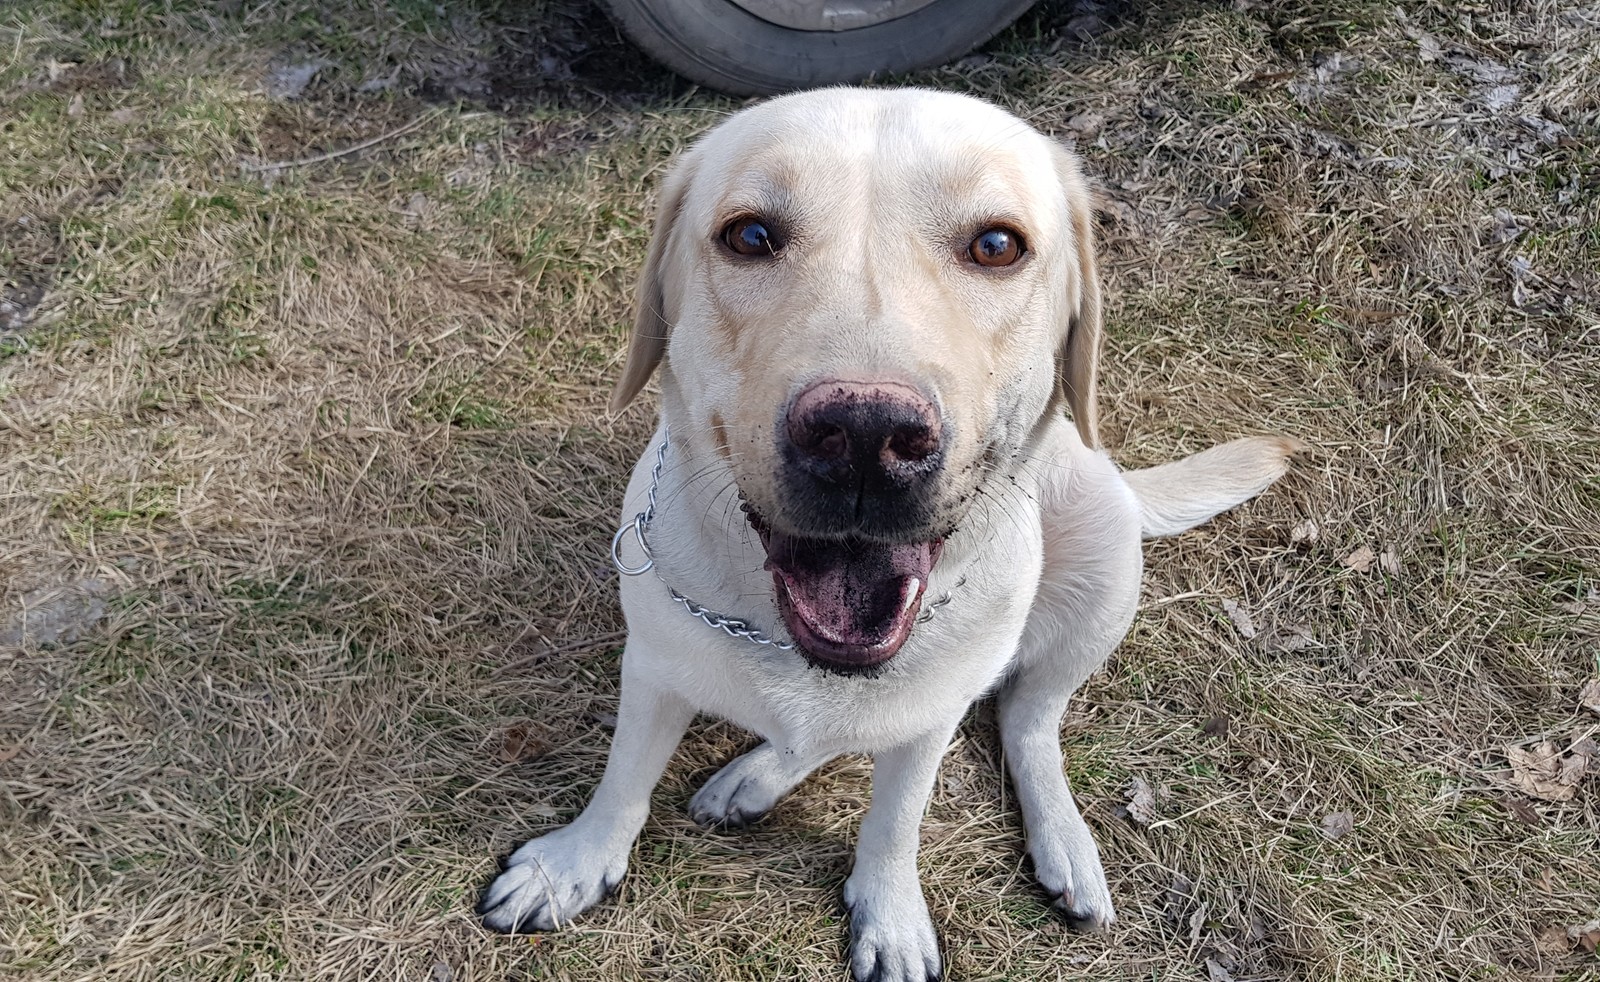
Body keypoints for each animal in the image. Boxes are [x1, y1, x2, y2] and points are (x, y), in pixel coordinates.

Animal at [476, 88, 1299, 978]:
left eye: (997, 245)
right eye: (750, 236)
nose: (866, 436)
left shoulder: (930, 718)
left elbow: (897, 821)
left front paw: (892, 914)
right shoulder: (655, 666)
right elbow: (624, 779)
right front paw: (574, 864)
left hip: (1105, 559)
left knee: (1029, 718)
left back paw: (1063, 841)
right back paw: (756, 777)